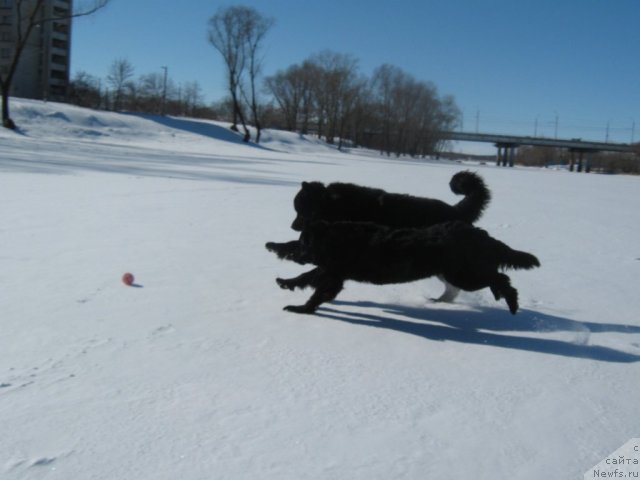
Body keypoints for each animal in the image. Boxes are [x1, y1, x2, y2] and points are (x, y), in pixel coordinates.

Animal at [264, 171, 490, 302]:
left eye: (301, 211)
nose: (292, 225)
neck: (335, 205)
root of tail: (457, 211)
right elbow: (294, 245)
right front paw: (277, 246)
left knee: (454, 287)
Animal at [276, 220, 540, 316]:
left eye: (303, 242)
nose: (293, 253)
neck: (338, 239)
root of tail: (482, 235)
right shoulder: (332, 270)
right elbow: (308, 277)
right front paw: (286, 283)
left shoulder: (333, 273)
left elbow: (316, 289)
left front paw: (300, 308)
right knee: (496, 276)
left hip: (464, 274)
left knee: (501, 277)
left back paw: (512, 303)